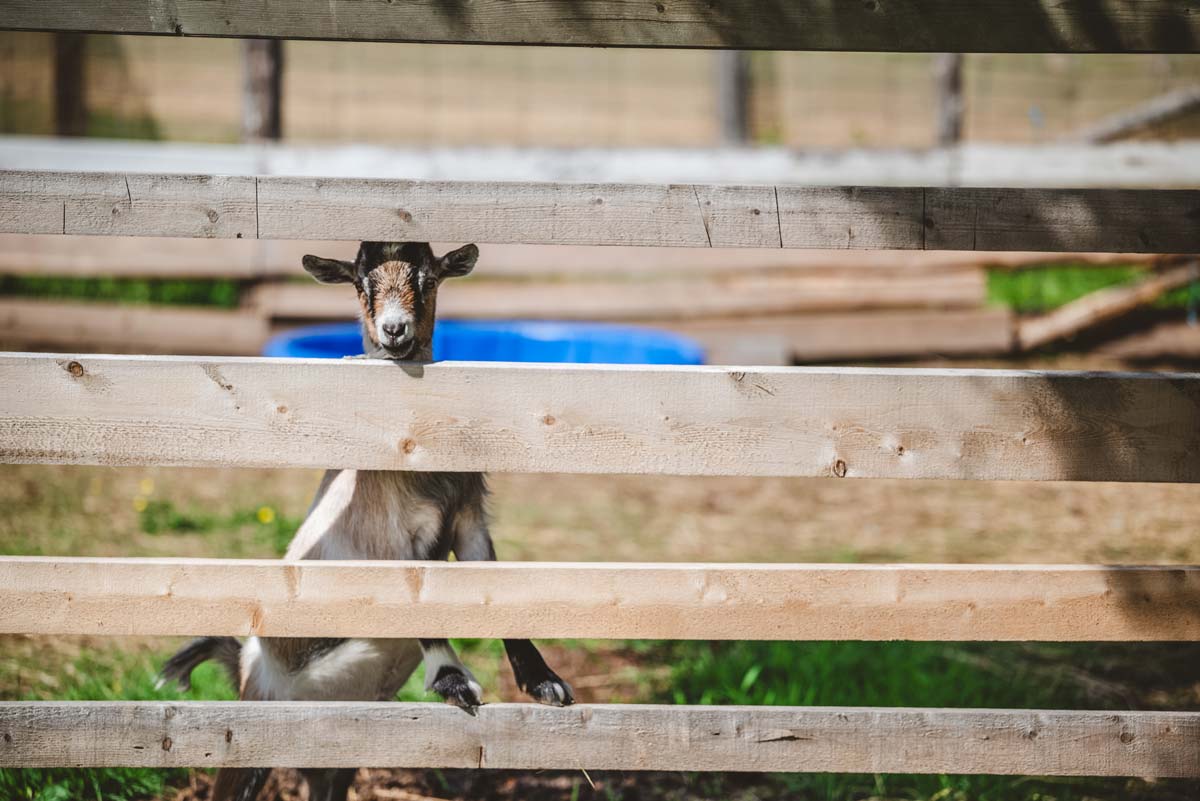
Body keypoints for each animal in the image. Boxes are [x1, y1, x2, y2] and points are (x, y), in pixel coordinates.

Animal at [159, 241, 573, 801]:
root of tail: (244, 660)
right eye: (360, 283)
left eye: (428, 278)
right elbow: (419, 605)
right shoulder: (393, 542)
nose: (394, 329)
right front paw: (453, 680)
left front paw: (544, 681)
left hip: (339, 747)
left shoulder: (468, 520)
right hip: (254, 726)